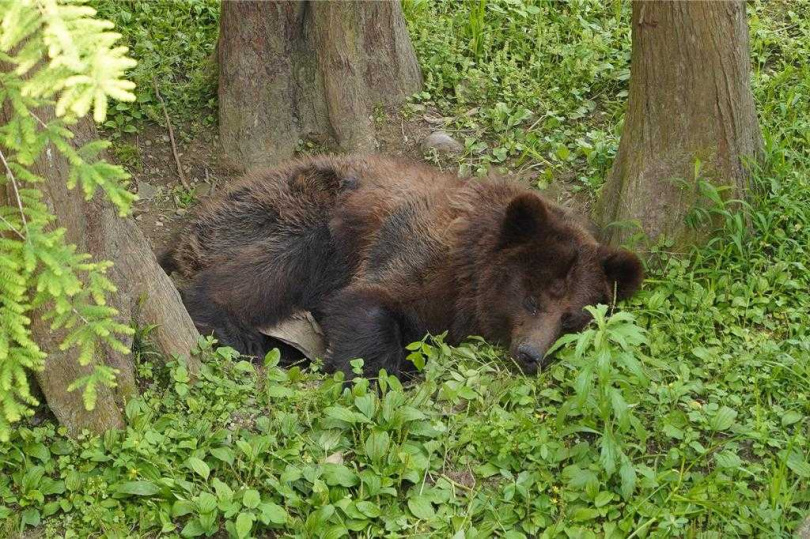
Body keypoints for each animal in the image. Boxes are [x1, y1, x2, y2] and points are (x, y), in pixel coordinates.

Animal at [160, 155, 643, 379]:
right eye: (531, 298)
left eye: (571, 318)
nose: (530, 355)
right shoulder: (414, 254)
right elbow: (365, 304)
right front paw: (370, 376)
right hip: (297, 214)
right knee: (265, 272)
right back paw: (232, 330)